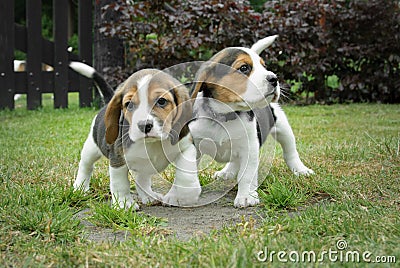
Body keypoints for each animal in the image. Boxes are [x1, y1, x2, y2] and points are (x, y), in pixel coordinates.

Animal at [69, 62, 202, 209]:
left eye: (161, 101)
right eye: (129, 104)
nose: (144, 125)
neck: (152, 143)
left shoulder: (187, 146)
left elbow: (185, 172)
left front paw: (182, 196)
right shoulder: (118, 159)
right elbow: (120, 183)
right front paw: (123, 204)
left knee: (142, 179)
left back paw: (149, 196)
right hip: (91, 148)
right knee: (86, 166)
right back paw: (80, 188)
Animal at [189, 35, 314, 207]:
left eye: (264, 66)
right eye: (244, 68)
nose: (274, 78)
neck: (225, 114)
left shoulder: (250, 148)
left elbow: (247, 175)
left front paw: (246, 196)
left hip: (283, 128)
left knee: (290, 152)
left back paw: (301, 170)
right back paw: (227, 172)